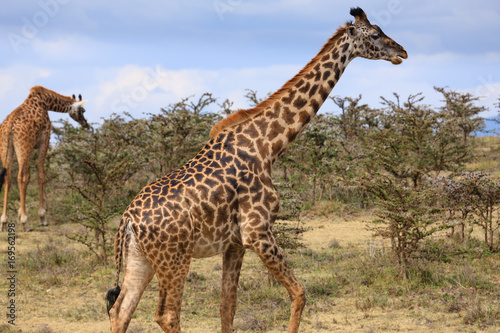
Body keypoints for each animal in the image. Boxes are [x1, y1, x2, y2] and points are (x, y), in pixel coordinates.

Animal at [0, 85, 89, 231]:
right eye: (82, 110)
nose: (85, 124)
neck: (46, 102)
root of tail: (9, 126)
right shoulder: (44, 140)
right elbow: (40, 176)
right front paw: (42, 217)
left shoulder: (32, 145)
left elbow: (30, 177)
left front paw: (19, 213)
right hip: (23, 147)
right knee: (21, 178)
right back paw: (25, 222)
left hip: (6, 149)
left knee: (8, 178)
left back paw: (3, 221)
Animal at [106, 7, 406, 332]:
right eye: (375, 34)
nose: (401, 51)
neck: (269, 145)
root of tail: (128, 219)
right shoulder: (257, 231)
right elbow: (299, 293)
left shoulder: (235, 243)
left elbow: (227, 307)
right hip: (175, 259)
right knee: (166, 314)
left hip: (141, 259)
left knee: (121, 310)